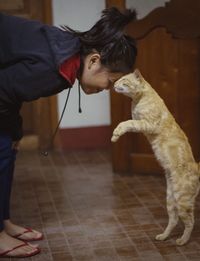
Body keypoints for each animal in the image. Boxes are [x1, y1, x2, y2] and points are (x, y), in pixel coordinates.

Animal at [111, 69, 200, 244]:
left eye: (123, 80)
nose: (114, 84)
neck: (138, 100)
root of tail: (197, 167)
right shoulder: (138, 119)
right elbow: (128, 121)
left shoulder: (146, 123)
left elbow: (125, 123)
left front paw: (115, 135)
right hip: (171, 200)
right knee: (173, 220)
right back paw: (164, 236)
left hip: (183, 200)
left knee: (190, 222)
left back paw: (182, 241)